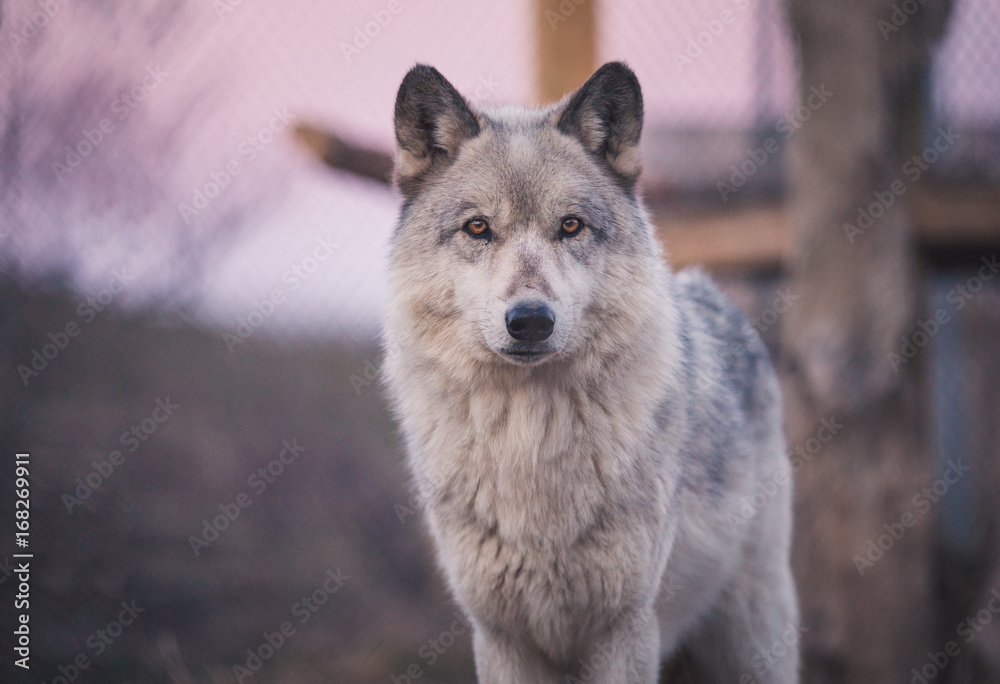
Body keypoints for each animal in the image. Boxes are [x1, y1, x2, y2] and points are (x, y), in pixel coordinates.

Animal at [382, 62, 799, 683]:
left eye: (571, 227)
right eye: (478, 228)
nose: (530, 320)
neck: (529, 442)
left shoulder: (623, 629)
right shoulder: (502, 637)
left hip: (753, 637)